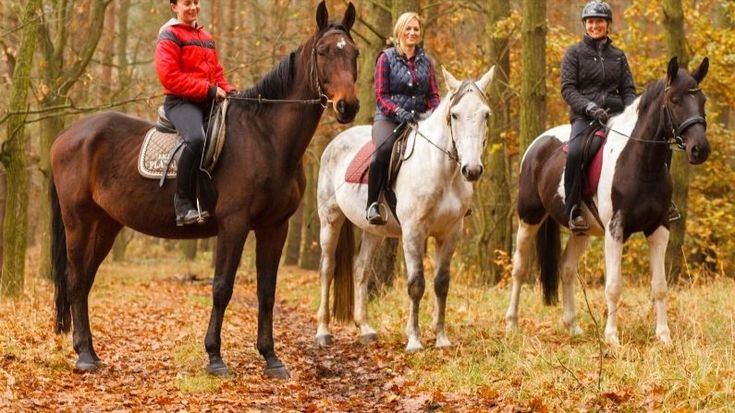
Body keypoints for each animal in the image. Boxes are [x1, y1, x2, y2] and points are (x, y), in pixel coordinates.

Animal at [50, 1, 358, 378]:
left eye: (354, 53)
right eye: (323, 52)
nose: (348, 106)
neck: (266, 138)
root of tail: (66, 136)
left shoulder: (275, 227)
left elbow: (267, 291)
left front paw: (271, 359)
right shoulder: (234, 223)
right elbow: (222, 287)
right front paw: (214, 357)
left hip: (106, 223)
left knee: (85, 280)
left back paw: (91, 354)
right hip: (78, 221)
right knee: (75, 279)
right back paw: (83, 356)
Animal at [314, 66, 494, 350]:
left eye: (485, 114)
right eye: (454, 115)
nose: (472, 169)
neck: (441, 170)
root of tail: (336, 141)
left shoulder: (450, 233)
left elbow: (441, 284)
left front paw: (441, 339)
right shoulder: (413, 232)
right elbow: (416, 284)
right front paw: (414, 340)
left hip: (373, 231)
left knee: (361, 269)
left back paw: (366, 329)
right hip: (330, 220)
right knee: (327, 268)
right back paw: (323, 332)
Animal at [508, 57, 712, 344]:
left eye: (702, 99)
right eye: (674, 100)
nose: (699, 149)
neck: (642, 163)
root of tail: (537, 144)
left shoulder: (659, 228)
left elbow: (660, 286)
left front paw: (663, 336)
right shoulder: (616, 229)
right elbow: (614, 286)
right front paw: (612, 337)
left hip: (581, 230)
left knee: (567, 268)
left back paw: (572, 326)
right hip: (529, 217)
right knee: (519, 266)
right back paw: (512, 323)